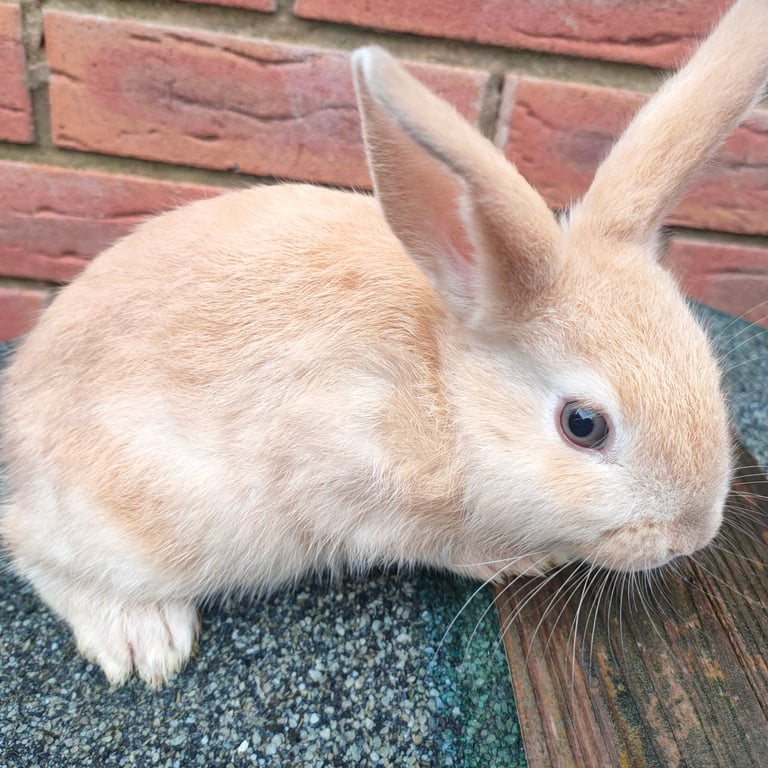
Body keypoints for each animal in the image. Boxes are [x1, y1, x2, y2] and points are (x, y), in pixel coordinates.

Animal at [2, 0, 767, 688]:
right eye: (584, 425)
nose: (692, 534)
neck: (445, 390)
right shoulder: (350, 478)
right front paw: (516, 562)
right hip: (143, 524)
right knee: (35, 550)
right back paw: (144, 642)